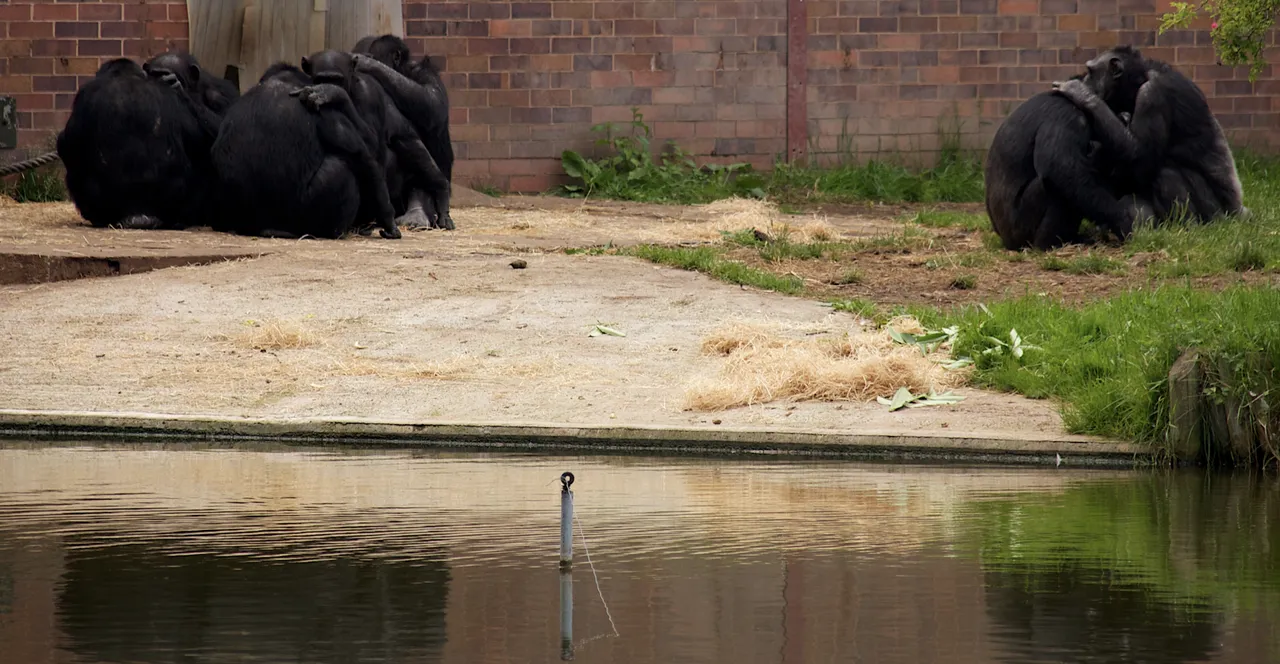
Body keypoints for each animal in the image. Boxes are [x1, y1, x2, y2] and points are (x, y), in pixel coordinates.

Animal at [209, 62, 399, 239]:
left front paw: (332, 92)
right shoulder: (326, 113)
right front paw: (389, 220)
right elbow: (364, 158)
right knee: (343, 168)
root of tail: (267, 226)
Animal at [977, 74, 1152, 252]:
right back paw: (1048, 244)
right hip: (1021, 229)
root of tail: (1006, 242)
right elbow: (1059, 167)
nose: (1125, 117)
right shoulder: (1068, 117)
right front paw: (1122, 222)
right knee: (1058, 190)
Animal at [1049, 46, 1249, 226]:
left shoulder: (1152, 96)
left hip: (1215, 214)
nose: (1085, 78)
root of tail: (1239, 212)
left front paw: (1080, 92)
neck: (1139, 81)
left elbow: (1139, 155)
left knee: (1165, 173)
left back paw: (1186, 226)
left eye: (1091, 71)